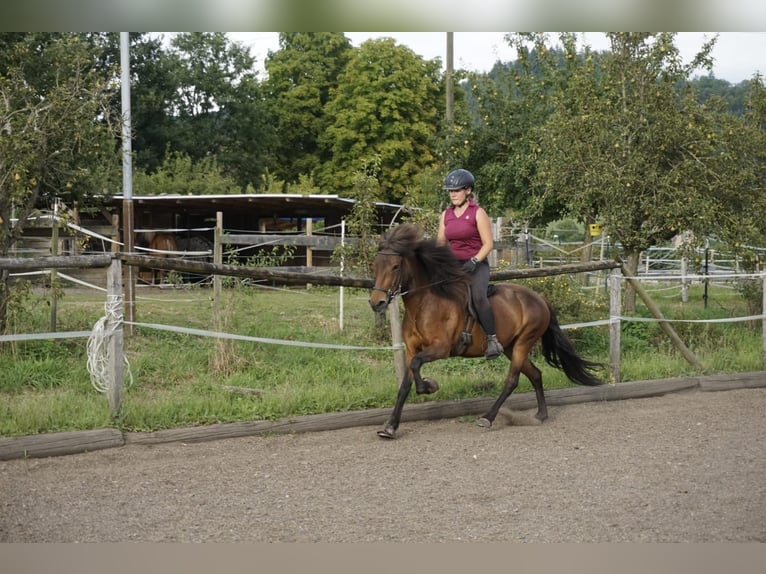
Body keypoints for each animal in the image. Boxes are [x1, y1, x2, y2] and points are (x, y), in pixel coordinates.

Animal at [372, 224, 608, 440]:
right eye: (376, 264)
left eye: (395, 266)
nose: (376, 303)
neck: (425, 304)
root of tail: (539, 299)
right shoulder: (411, 349)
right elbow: (405, 384)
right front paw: (390, 426)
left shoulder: (441, 348)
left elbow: (416, 366)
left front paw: (429, 386)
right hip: (511, 347)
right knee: (535, 374)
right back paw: (540, 415)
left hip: (524, 342)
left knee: (512, 380)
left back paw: (488, 418)